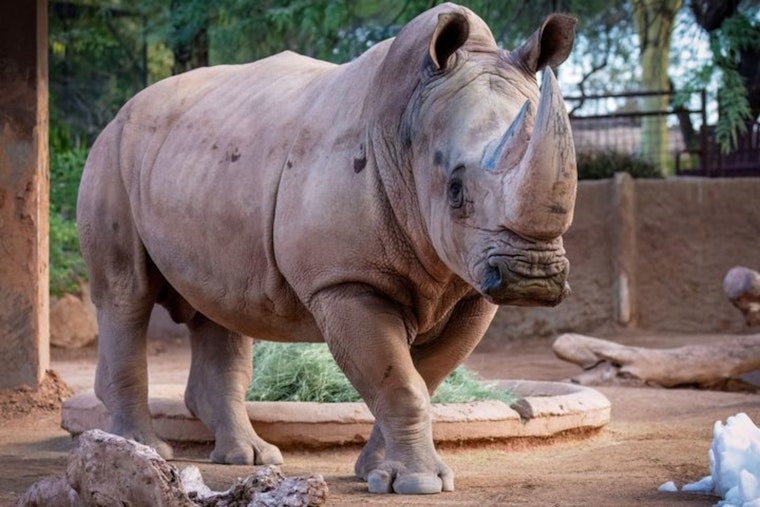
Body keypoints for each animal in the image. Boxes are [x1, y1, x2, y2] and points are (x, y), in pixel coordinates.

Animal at [77, 3, 577, 495]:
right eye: (455, 190)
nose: (532, 277)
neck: (407, 128)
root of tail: (125, 109)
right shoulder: (345, 280)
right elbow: (402, 383)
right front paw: (417, 483)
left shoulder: (469, 286)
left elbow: (423, 378)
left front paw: (376, 472)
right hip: (111, 153)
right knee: (126, 295)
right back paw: (144, 448)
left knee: (220, 306)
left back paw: (250, 456)